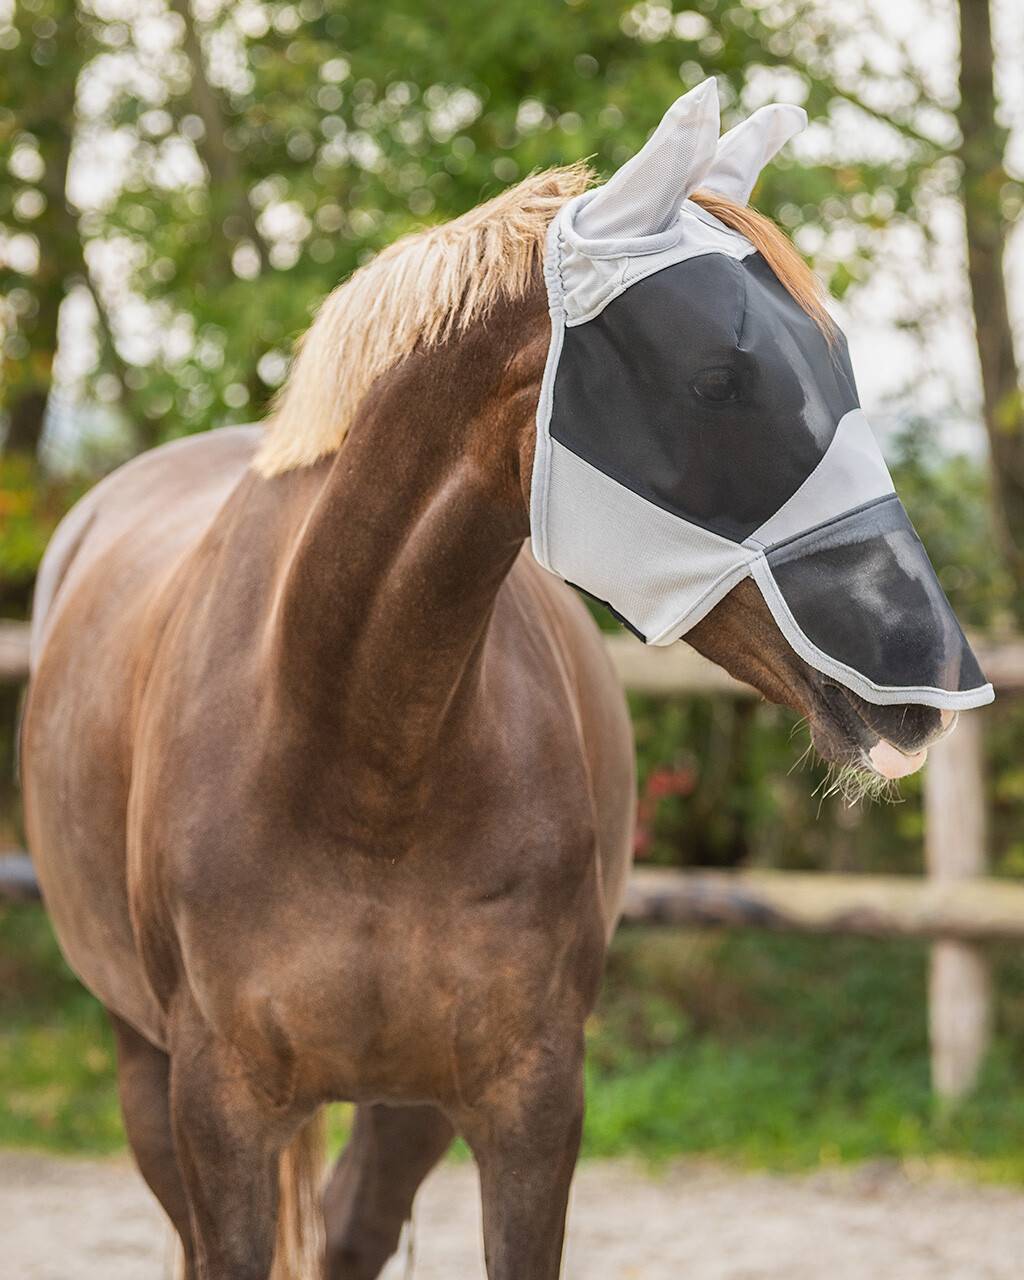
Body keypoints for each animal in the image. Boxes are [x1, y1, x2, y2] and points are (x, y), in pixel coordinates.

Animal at [21, 86, 984, 1279]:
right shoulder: (216, 1113)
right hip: (142, 1067)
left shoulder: (528, 1103)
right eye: (718, 378)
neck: (356, 751)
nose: (929, 675)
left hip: (404, 1106)